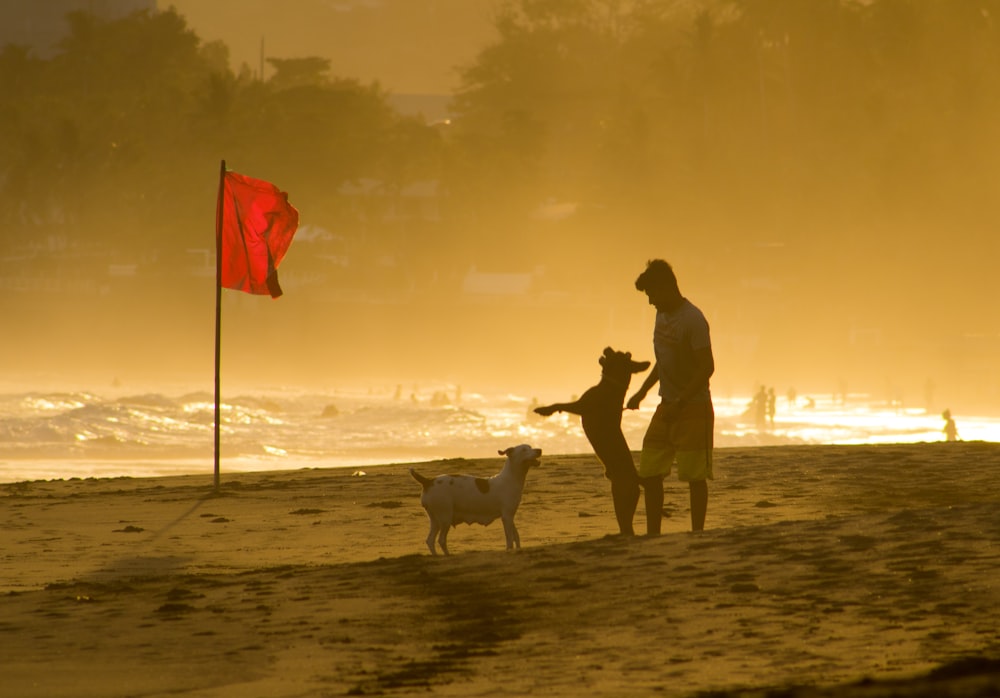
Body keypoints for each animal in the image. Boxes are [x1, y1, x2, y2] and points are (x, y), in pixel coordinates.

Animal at [410, 440, 544, 556]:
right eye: (524, 450)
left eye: (531, 447)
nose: (540, 450)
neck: (510, 478)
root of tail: (428, 481)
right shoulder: (506, 516)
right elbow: (510, 538)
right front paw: (509, 550)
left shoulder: (510, 516)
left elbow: (516, 536)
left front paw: (518, 549)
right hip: (445, 518)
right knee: (441, 540)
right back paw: (448, 555)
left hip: (435, 520)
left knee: (430, 540)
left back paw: (436, 557)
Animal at [536, 346, 652, 532]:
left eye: (617, 354)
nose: (607, 347)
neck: (610, 385)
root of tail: (637, 479)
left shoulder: (581, 406)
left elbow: (559, 404)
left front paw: (544, 410)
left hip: (622, 495)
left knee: (627, 526)